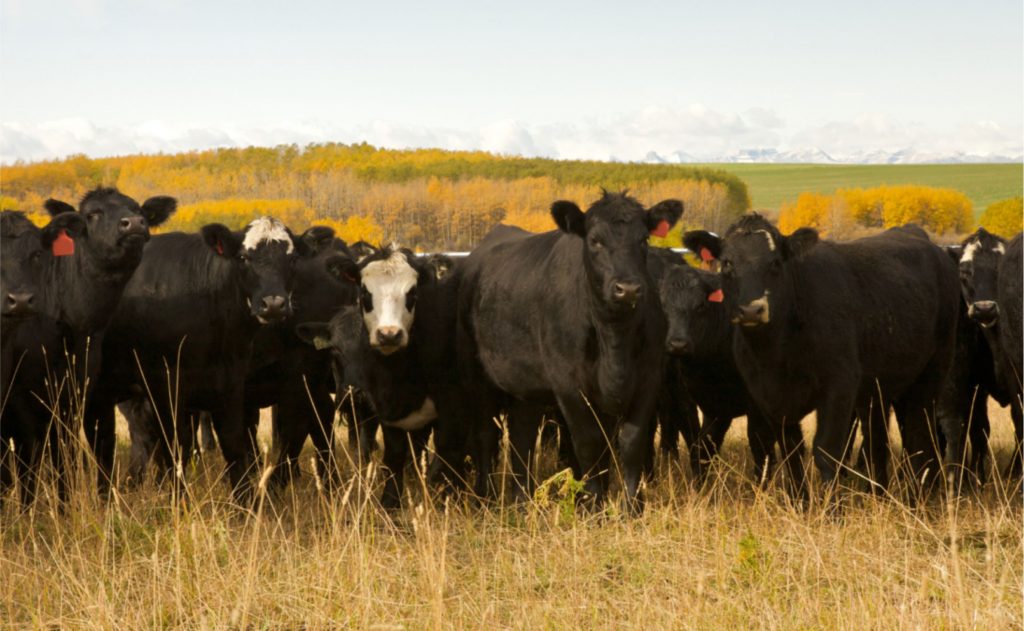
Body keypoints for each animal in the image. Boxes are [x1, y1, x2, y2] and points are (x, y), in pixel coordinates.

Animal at [688, 214, 958, 499]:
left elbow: (827, 452)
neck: (777, 353)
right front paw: (800, 502)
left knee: (920, 440)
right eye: (727, 263)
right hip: (877, 390)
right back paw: (877, 494)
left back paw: (916, 499)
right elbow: (791, 452)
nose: (751, 310)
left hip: (931, 375)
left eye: (775, 262)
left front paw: (831, 508)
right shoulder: (769, 397)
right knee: (877, 441)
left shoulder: (839, 388)